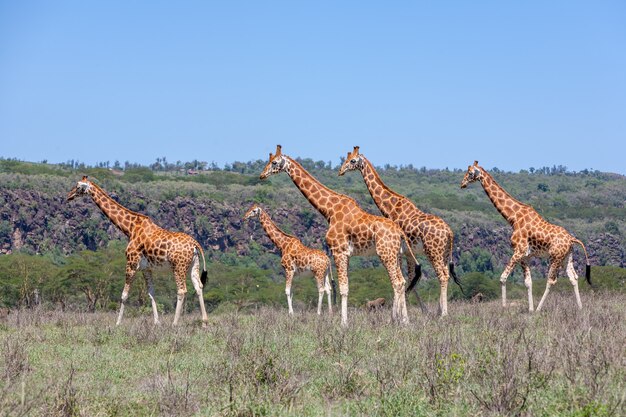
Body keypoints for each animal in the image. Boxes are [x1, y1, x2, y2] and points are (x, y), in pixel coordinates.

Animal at [67, 176, 210, 324]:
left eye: (78, 186)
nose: (69, 196)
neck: (130, 228)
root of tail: (195, 244)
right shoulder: (146, 268)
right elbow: (151, 293)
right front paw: (156, 322)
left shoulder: (131, 263)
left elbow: (124, 295)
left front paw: (117, 323)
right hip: (193, 265)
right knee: (198, 287)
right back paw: (204, 322)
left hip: (178, 266)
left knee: (182, 290)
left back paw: (174, 323)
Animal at [258, 145, 414, 324]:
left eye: (274, 162)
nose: (262, 175)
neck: (329, 210)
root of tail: (400, 232)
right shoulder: (346, 254)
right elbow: (343, 287)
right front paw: (343, 320)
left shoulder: (338, 251)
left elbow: (342, 288)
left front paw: (343, 323)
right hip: (396, 254)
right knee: (402, 281)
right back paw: (404, 320)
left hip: (385, 253)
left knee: (397, 282)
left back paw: (397, 320)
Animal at [338, 146, 460, 316]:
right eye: (345, 159)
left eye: (353, 160)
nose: (341, 171)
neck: (391, 207)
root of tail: (449, 232)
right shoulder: (406, 252)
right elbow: (410, 279)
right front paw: (420, 311)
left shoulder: (399, 251)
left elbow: (403, 279)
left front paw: (398, 313)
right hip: (444, 252)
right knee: (446, 274)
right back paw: (438, 311)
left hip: (433, 251)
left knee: (442, 275)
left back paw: (443, 314)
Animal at [458, 161, 588, 310]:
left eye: (470, 173)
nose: (462, 184)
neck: (513, 218)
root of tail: (572, 239)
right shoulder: (524, 256)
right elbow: (528, 282)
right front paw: (529, 309)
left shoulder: (518, 251)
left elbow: (503, 277)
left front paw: (504, 308)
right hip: (567, 257)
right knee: (574, 277)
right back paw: (580, 308)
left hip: (555, 258)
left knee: (551, 280)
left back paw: (539, 309)